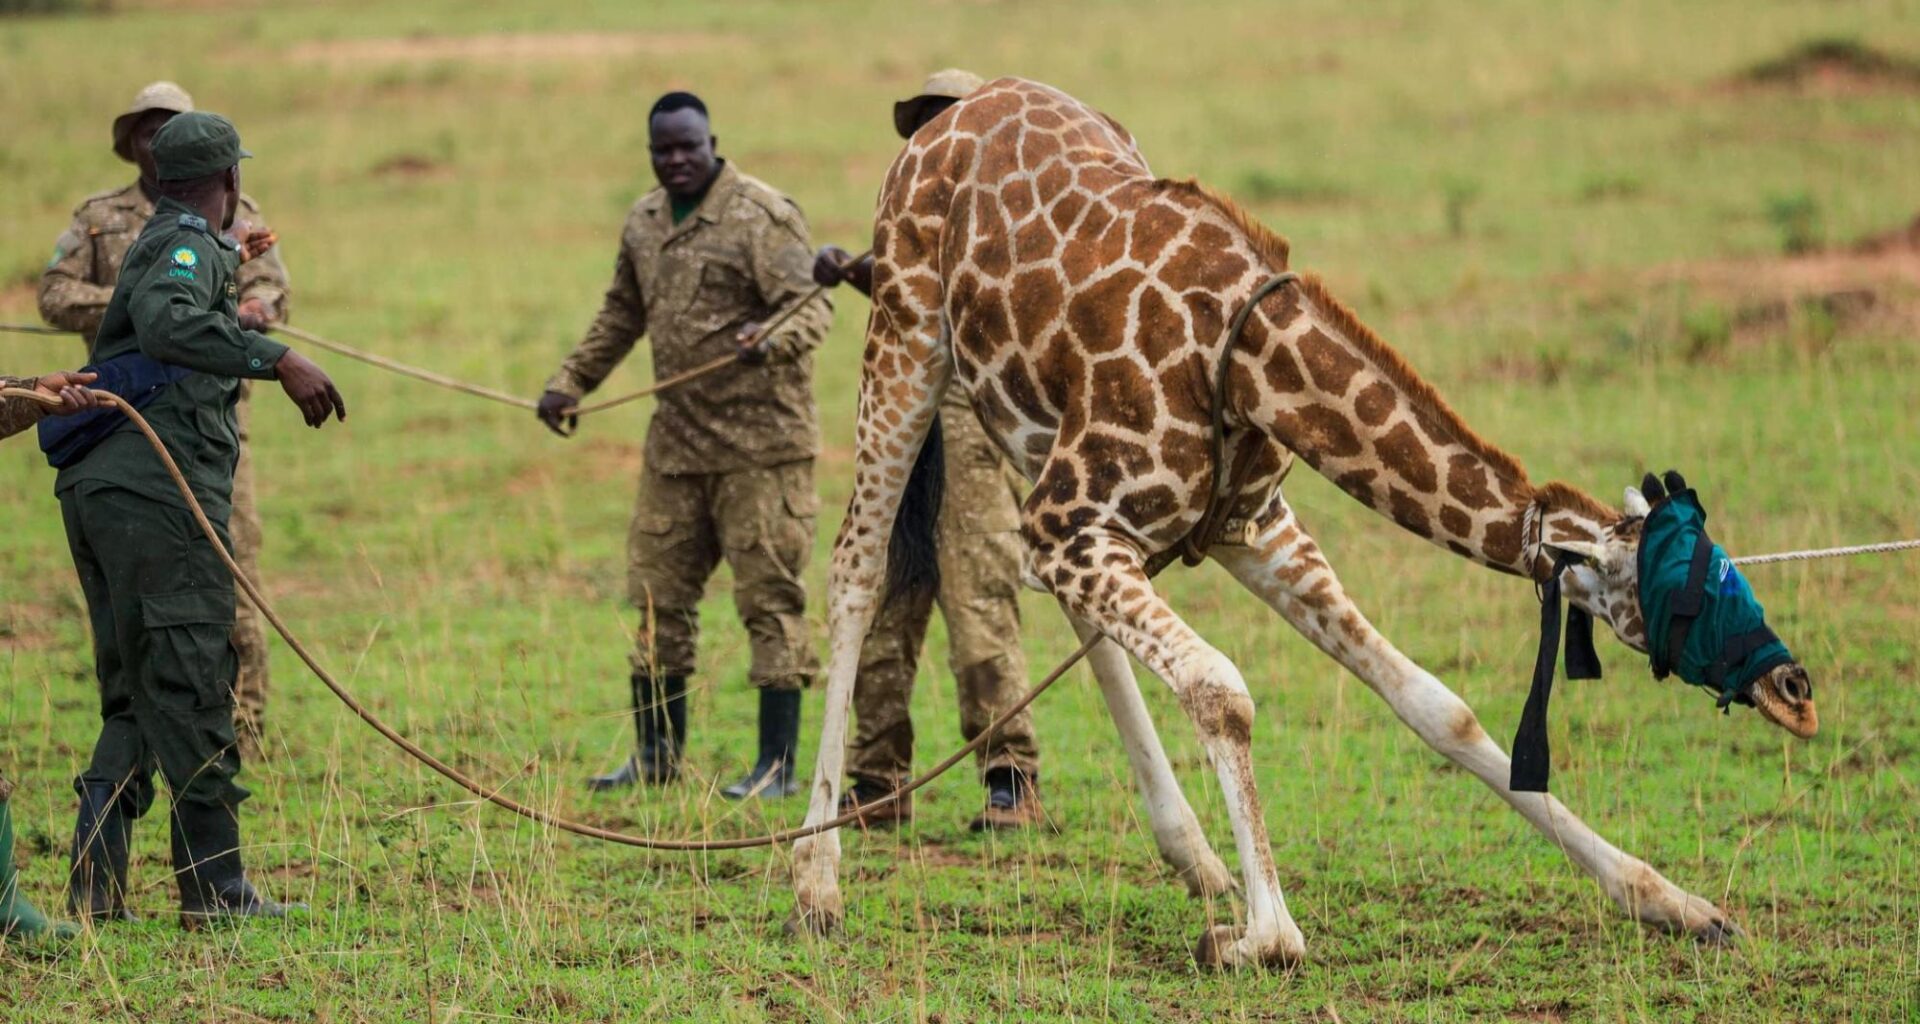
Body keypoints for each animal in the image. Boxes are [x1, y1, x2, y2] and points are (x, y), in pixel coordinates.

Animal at [790, 77, 1818, 967]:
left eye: (1727, 561)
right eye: (1690, 593)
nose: (1797, 693)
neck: (1250, 362)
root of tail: (946, 110)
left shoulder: (1250, 529)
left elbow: (1438, 706)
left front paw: (1677, 904)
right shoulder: (1078, 521)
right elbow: (1221, 688)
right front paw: (1263, 935)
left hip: (1023, 425)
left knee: (1061, 604)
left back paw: (1194, 856)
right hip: (908, 341)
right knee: (854, 571)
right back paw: (816, 878)